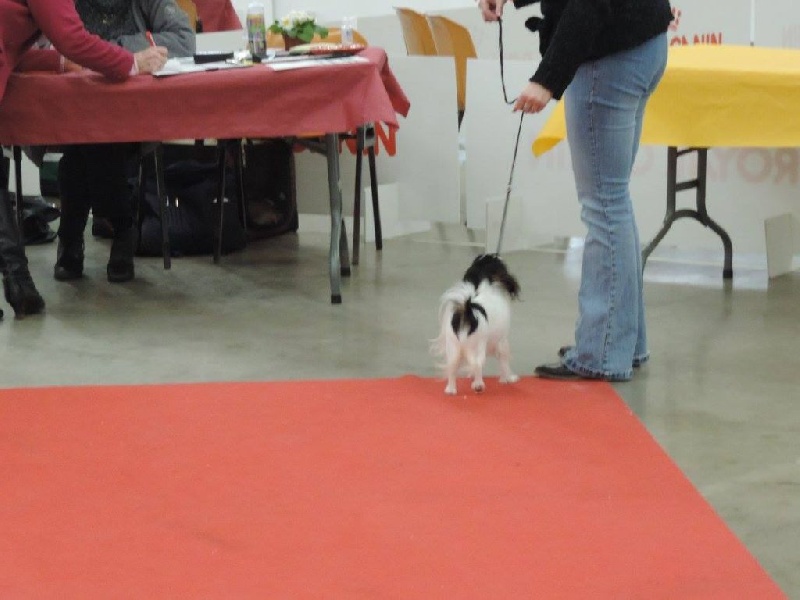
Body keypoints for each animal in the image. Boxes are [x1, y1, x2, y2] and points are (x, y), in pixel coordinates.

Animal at [431, 254, 521, 395]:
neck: (484, 281)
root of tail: (468, 311)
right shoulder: (502, 341)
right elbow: (504, 361)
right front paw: (507, 378)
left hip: (453, 347)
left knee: (453, 368)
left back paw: (451, 389)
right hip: (478, 346)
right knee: (477, 364)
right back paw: (478, 385)